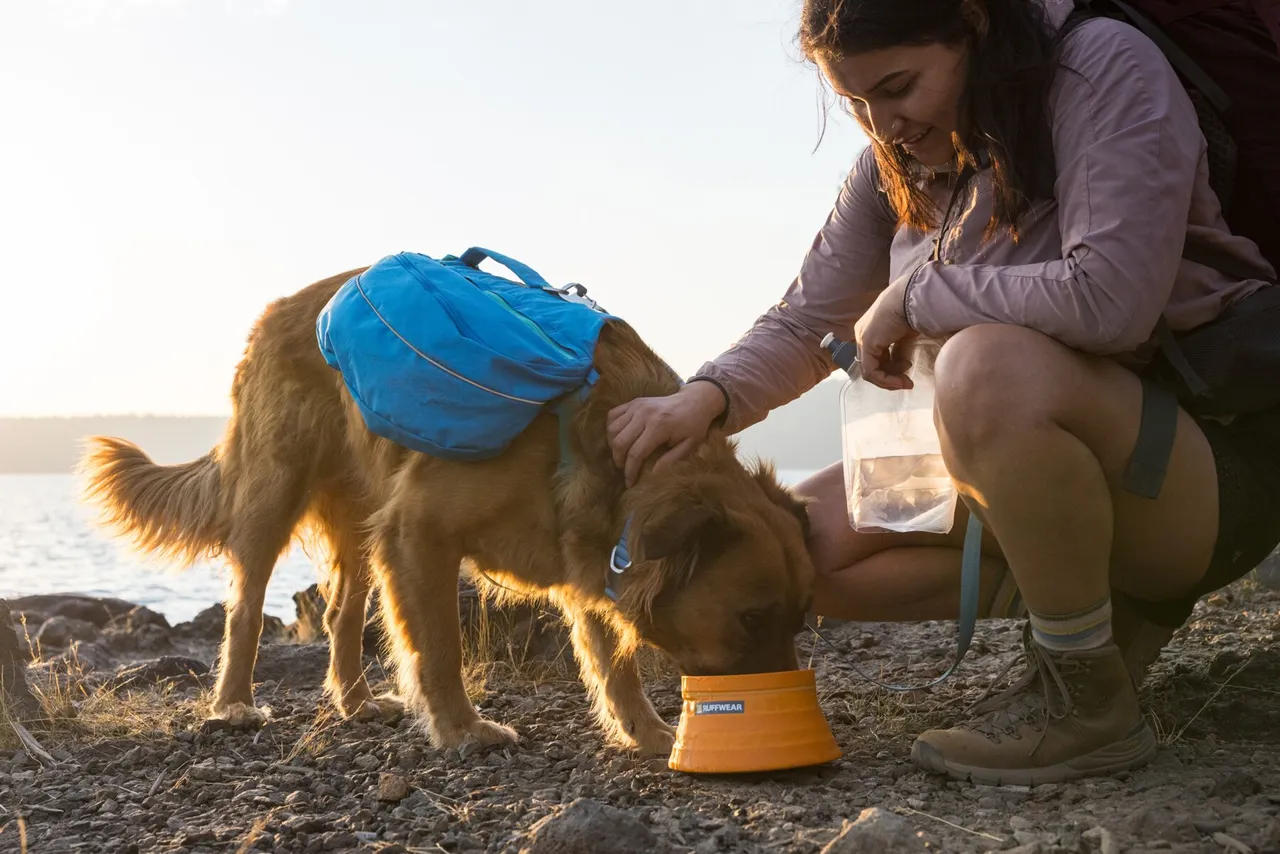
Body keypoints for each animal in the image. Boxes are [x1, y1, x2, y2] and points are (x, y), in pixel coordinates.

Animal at [80, 267, 814, 752]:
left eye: (799, 617)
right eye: (750, 617)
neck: (604, 444)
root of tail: (279, 309)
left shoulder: (585, 549)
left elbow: (613, 663)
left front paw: (649, 732)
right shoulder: (420, 531)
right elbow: (437, 648)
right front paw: (462, 728)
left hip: (363, 520)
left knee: (342, 613)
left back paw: (354, 702)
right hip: (275, 492)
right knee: (245, 610)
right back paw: (234, 705)